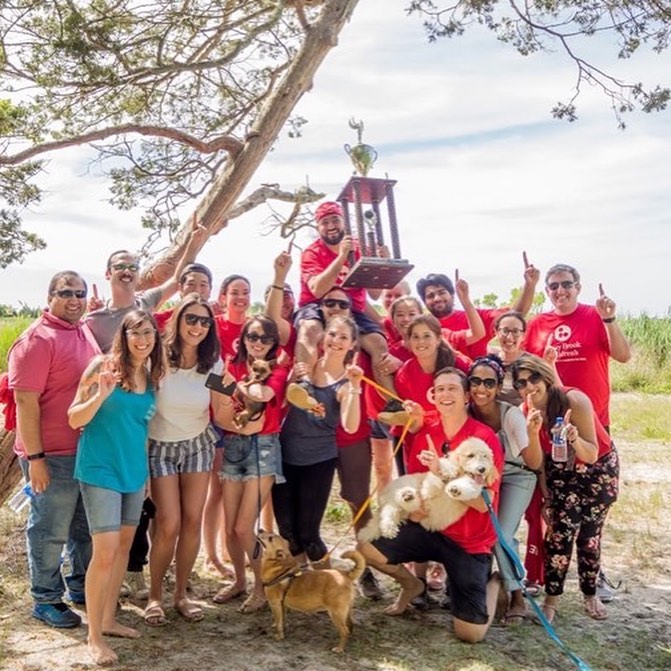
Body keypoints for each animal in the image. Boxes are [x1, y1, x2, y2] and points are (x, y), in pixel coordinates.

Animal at [356, 438, 498, 544]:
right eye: (470, 456)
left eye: (485, 456)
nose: (482, 469)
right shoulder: (432, 480)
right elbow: (440, 473)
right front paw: (447, 471)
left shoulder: (476, 488)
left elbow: (468, 485)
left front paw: (455, 489)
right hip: (405, 485)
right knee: (390, 509)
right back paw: (391, 522)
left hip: (405, 510)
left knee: (397, 509)